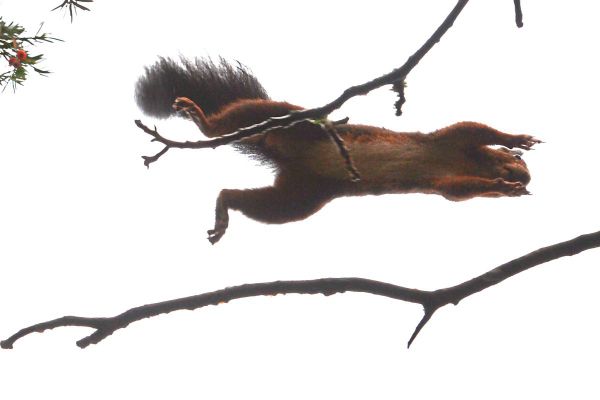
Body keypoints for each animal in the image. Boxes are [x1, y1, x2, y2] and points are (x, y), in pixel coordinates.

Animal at [135, 57, 539, 244]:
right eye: (516, 163)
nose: (525, 180)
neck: (470, 161)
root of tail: (280, 152)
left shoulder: (446, 184)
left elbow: (461, 189)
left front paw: (505, 190)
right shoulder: (448, 140)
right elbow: (475, 128)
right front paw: (517, 141)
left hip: (299, 197)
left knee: (252, 201)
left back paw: (224, 208)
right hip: (288, 121)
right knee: (235, 120)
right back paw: (200, 119)